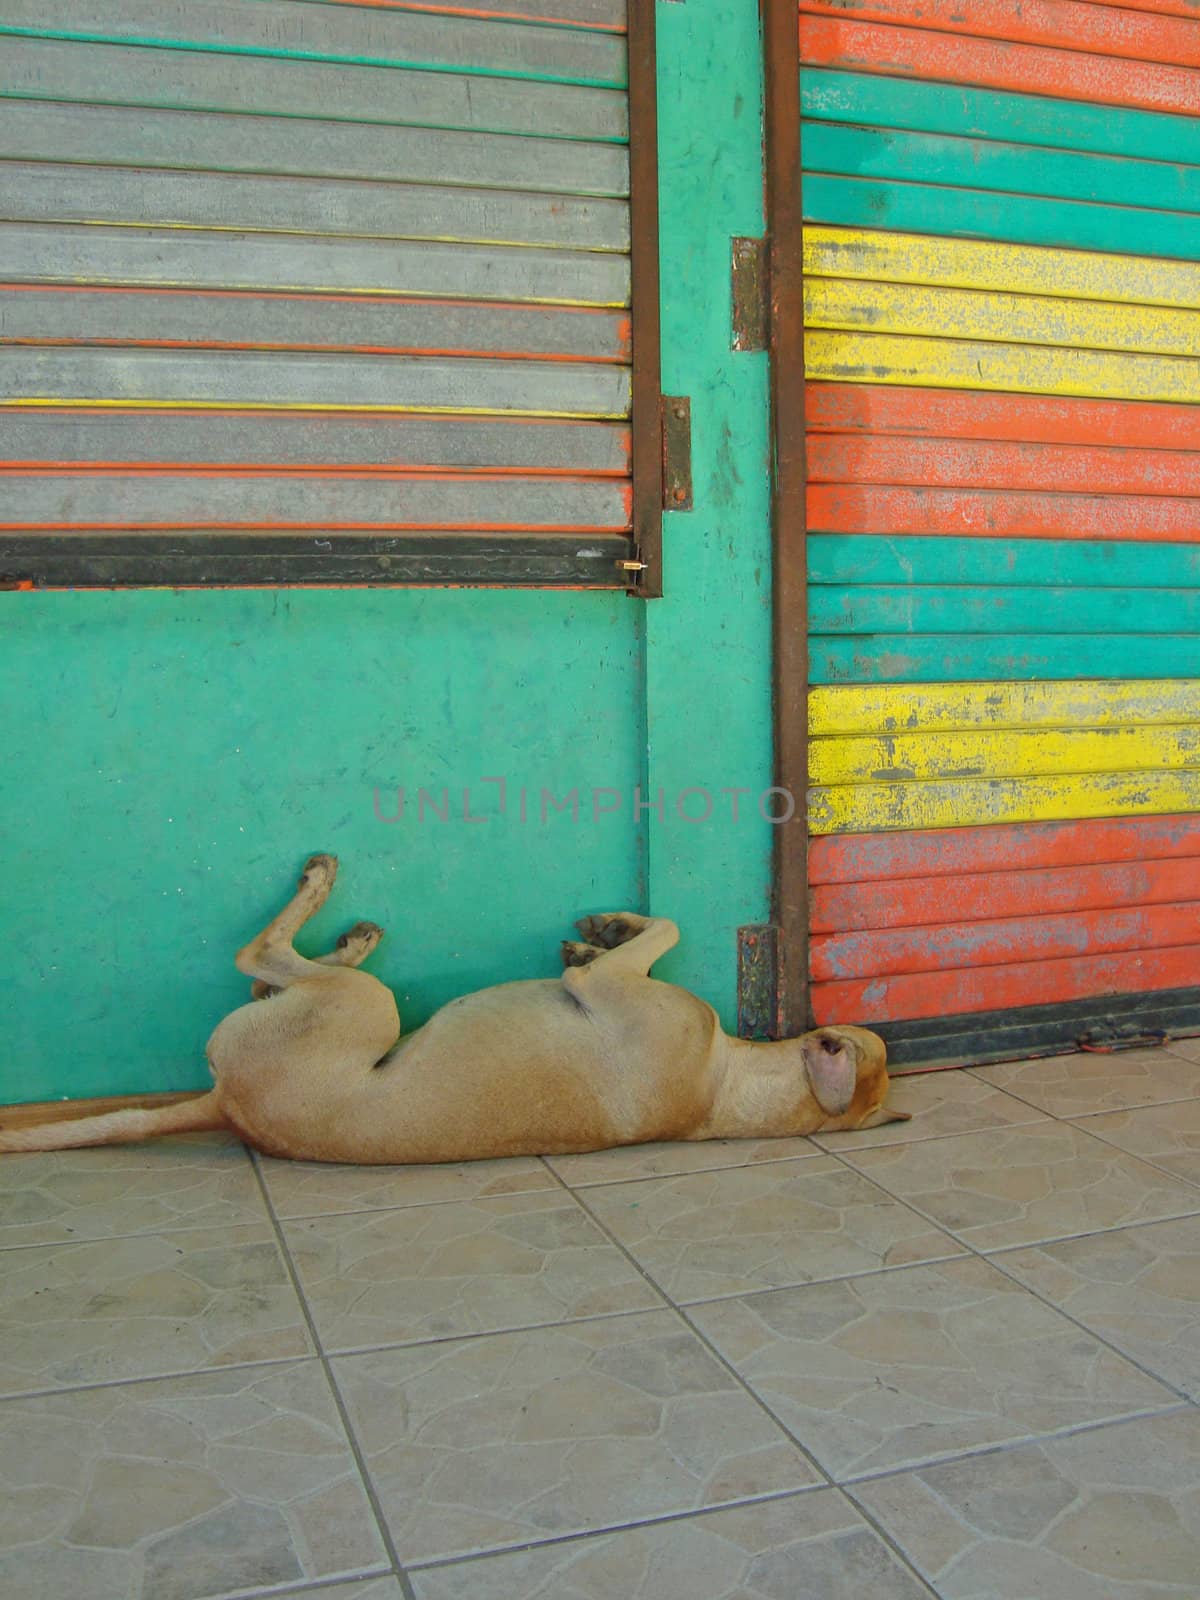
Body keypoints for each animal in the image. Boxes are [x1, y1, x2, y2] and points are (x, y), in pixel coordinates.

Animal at [0, 851, 908, 1164]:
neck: (733, 1089)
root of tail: (227, 1108)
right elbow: (645, 934)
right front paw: (600, 933)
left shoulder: (616, 998)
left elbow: (661, 932)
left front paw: (605, 939)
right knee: (266, 972)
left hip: (361, 1011)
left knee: (258, 958)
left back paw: (328, 905)